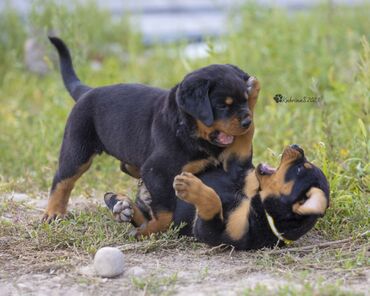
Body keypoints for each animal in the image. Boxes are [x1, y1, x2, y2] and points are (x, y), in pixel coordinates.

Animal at [44, 36, 260, 236]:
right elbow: (166, 213)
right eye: (223, 105)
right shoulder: (157, 171)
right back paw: (54, 212)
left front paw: (253, 89)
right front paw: (150, 228)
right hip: (77, 148)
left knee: (125, 166)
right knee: (62, 180)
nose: (247, 122)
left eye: (243, 100)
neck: (186, 127)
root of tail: (87, 92)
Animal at [171, 145, 330, 249]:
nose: (298, 147)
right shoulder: (245, 177)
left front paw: (189, 186)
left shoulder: (212, 233)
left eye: (299, 169)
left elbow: (213, 202)